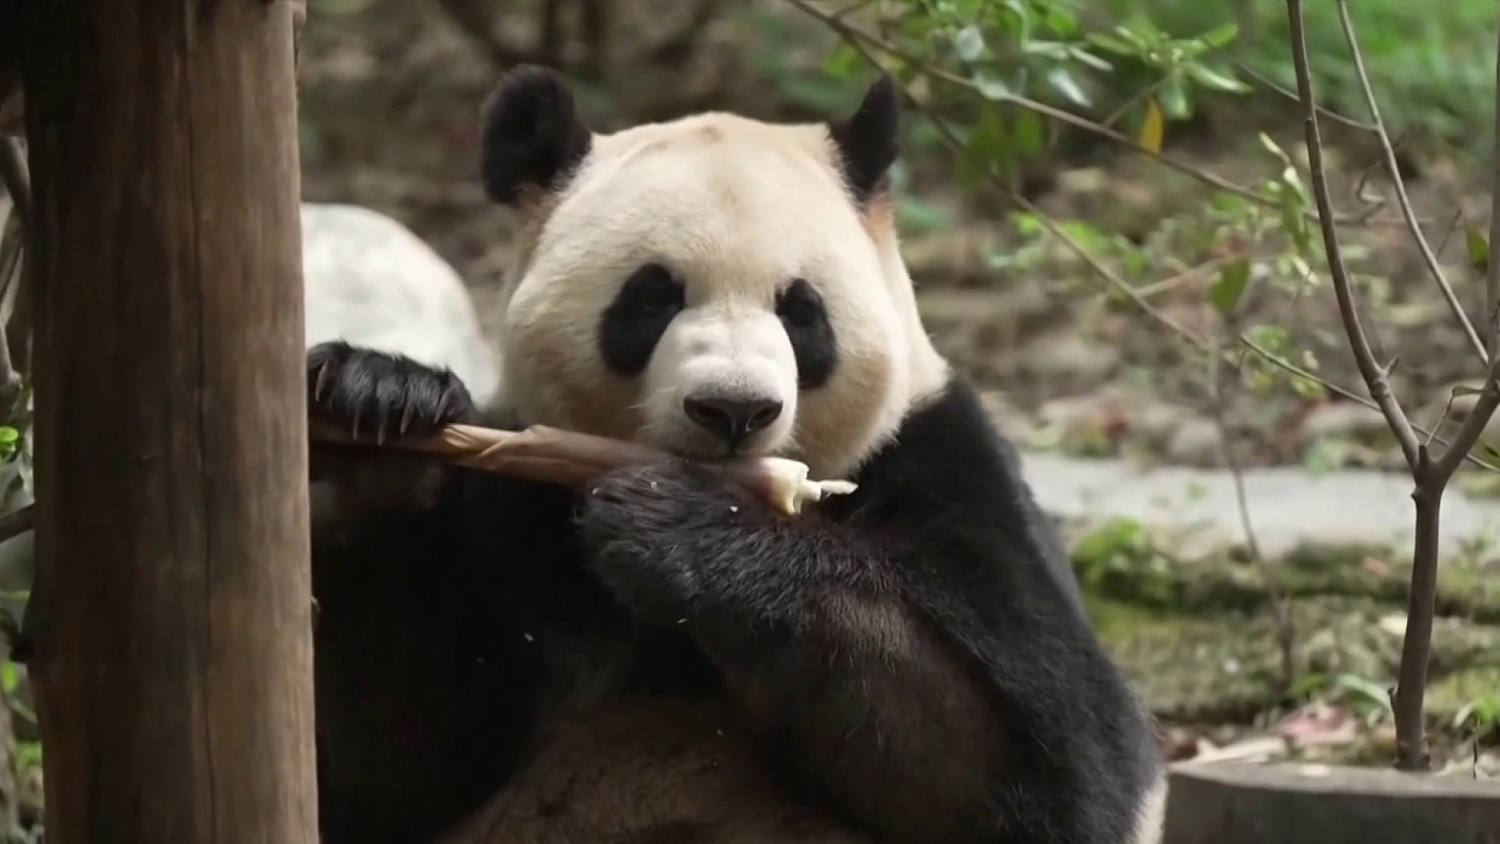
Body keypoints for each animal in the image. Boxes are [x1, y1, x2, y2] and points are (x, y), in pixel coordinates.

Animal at [308, 66, 1165, 844]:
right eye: (652, 296)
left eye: (802, 310)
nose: (733, 409)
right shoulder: (515, 525)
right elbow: (393, 762)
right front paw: (376, 415)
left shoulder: (945, 468)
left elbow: (1032, 768)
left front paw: (678, 533)